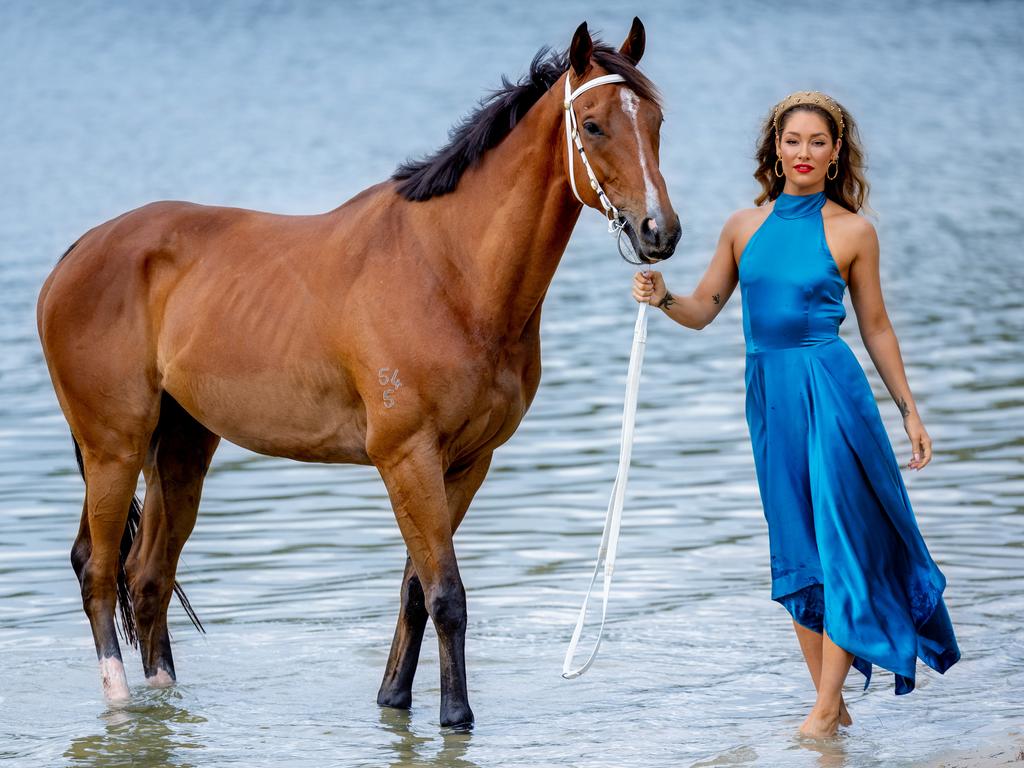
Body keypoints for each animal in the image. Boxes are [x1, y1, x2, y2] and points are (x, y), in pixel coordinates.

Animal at [37, 18, 679, 729]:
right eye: (592, 125)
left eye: (656, 120)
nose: (659, 231)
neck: (449, 270)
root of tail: (77, 253)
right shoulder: (407, 457)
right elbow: (446, 593)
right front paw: (456, 716)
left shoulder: (465, 461)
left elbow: (415, 591)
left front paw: (395, 700)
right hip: (115, 447)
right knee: (99, 571)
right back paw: (121, 703)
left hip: (179, 446)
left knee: (148, 576)